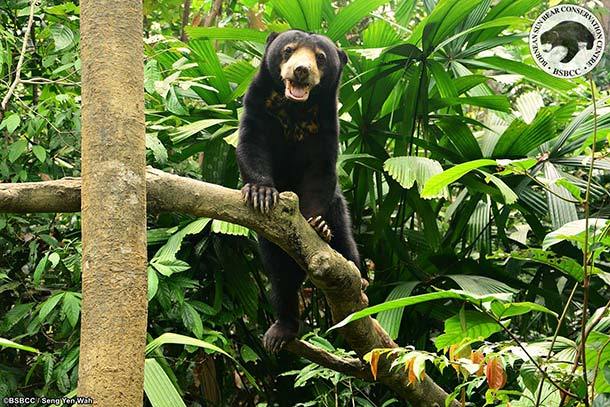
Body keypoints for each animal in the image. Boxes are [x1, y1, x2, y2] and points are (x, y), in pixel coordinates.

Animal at [235, 30, 364, 354]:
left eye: (320, 57)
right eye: (288, 51)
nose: (301, 71)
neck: (295, 109)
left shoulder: (326, 124)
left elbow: (320, 171)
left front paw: (315, 225)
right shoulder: (257, 105)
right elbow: (251, 145)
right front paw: (261, 193)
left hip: (339, 210)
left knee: (347, 245)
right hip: (269, 243)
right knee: (281, 279)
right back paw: (280, 331)